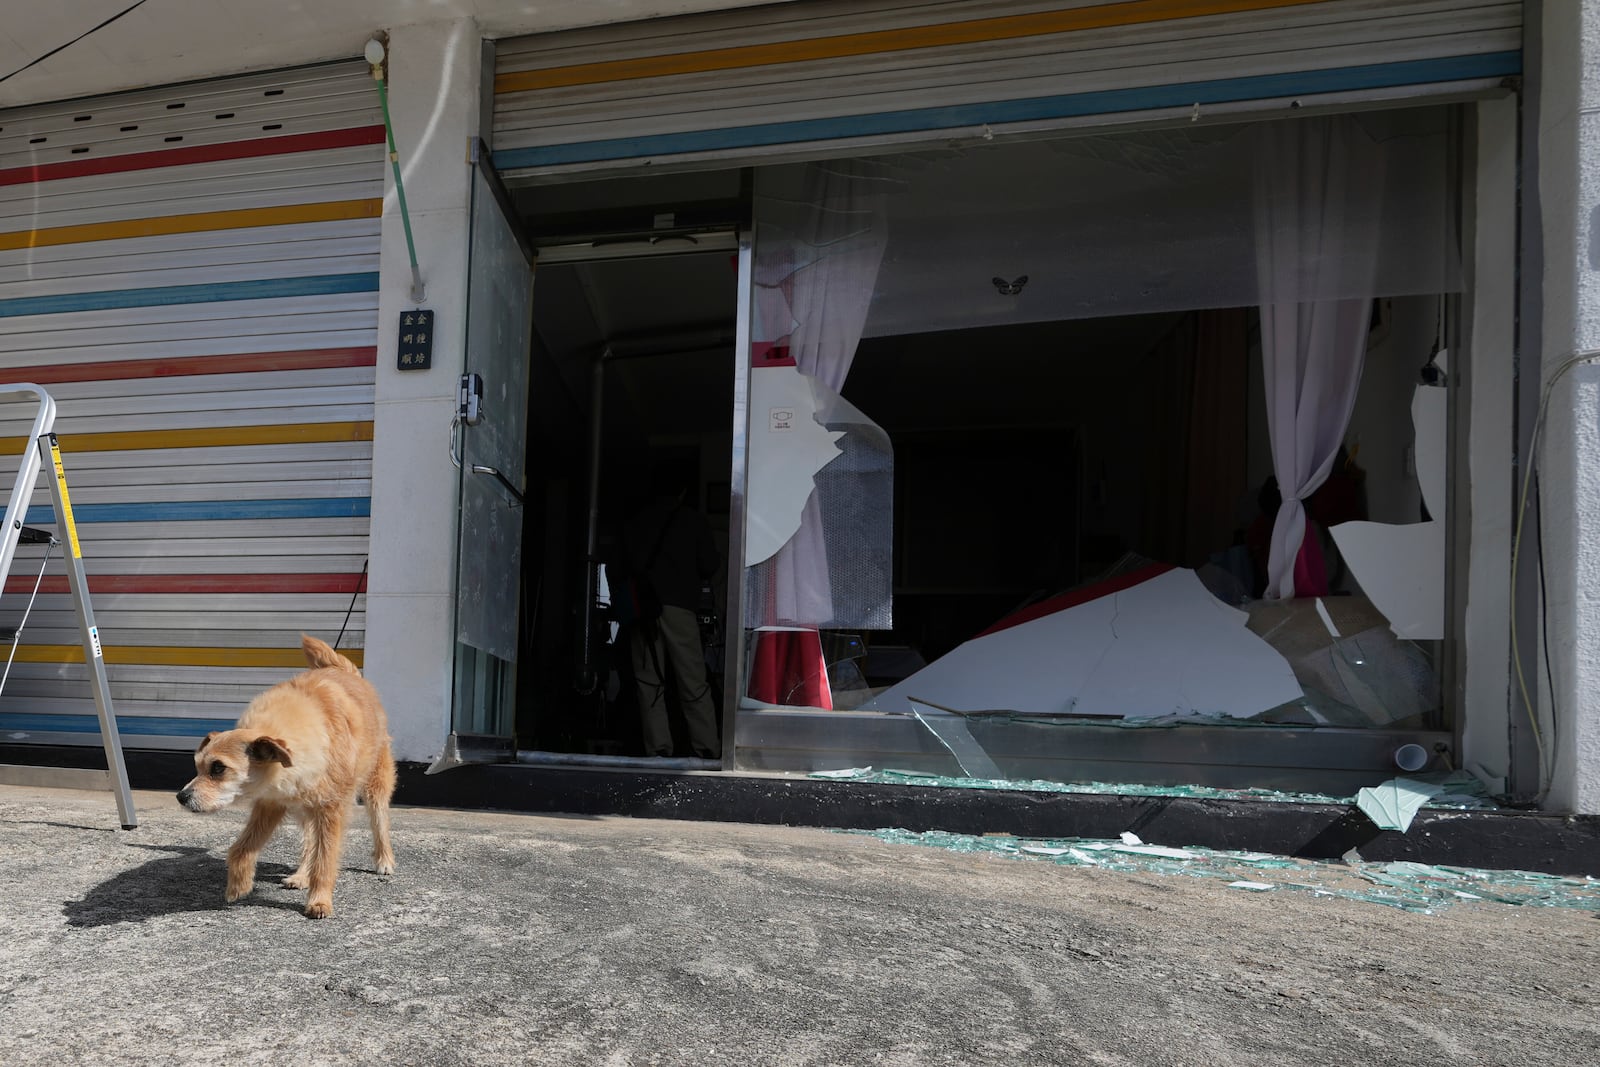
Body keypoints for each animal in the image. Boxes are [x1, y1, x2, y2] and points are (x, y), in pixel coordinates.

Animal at [176, 633, 395, 921]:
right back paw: (301, 875)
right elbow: (241, 848)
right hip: (304, 810)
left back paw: (384, 860)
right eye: (198, 766)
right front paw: (238, 885)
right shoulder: (269, 805)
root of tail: (343, 670)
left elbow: (325, 859)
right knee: (310, 842)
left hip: (373, 785)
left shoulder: (331, 810)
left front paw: (319, 900)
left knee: (378, 819)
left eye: (218, 768)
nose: (181, 797)